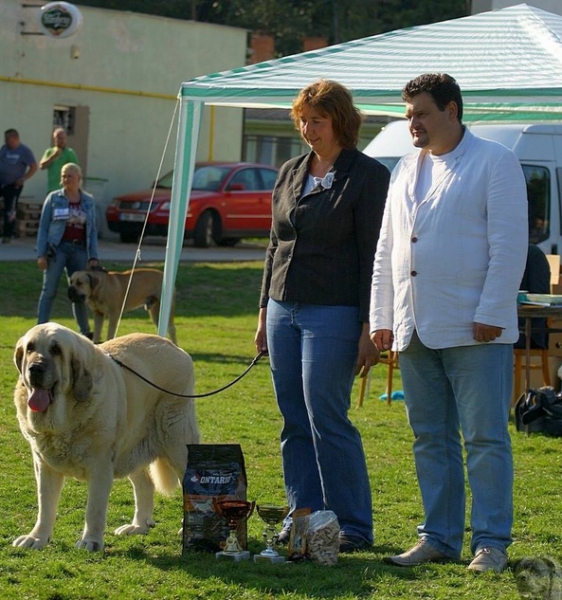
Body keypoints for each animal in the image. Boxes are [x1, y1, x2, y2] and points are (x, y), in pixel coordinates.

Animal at [12, 324, 199, 552]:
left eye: (56, 350)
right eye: (30, 348)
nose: (35, 368)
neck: (64, 419)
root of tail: (175, 347)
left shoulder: (100, 466)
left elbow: (94, 509)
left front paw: (90, 541)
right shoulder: (44, 466)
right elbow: (45, 506)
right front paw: (37, 538)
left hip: (177, 443)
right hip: (130, 448)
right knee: (145, 485)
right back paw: (138, 526)